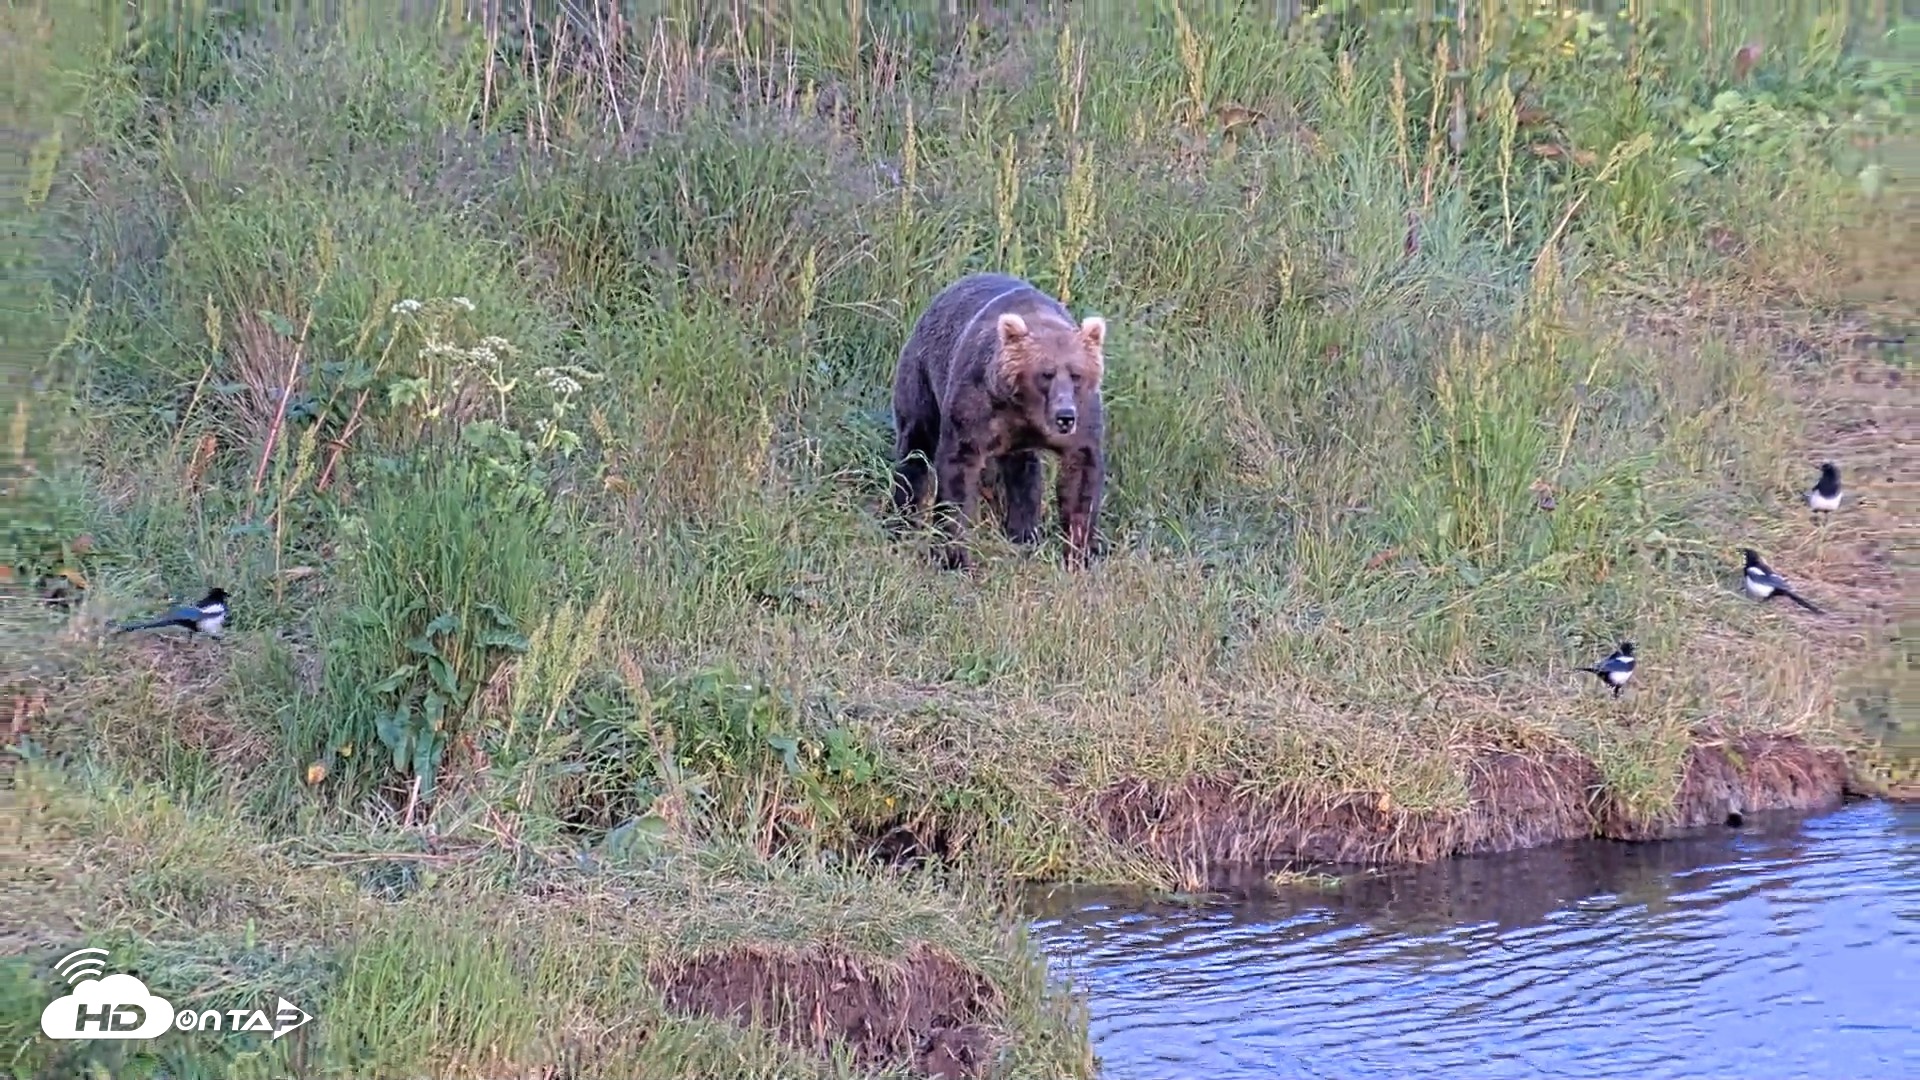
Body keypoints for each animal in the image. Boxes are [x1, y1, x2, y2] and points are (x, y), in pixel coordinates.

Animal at [887, 272, 1109, 571]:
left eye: (1076, 374)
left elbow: (1081, 475)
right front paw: (954, 557)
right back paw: (901, 521)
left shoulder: (1082, 417)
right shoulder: (975, 407)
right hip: (921, 377)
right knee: (915, 446)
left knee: (1022, 471)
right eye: (1046, 373)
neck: (1026, 411)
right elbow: (958, 472)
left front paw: (1079, 554)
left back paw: (1023, 533)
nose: (1064, 416)